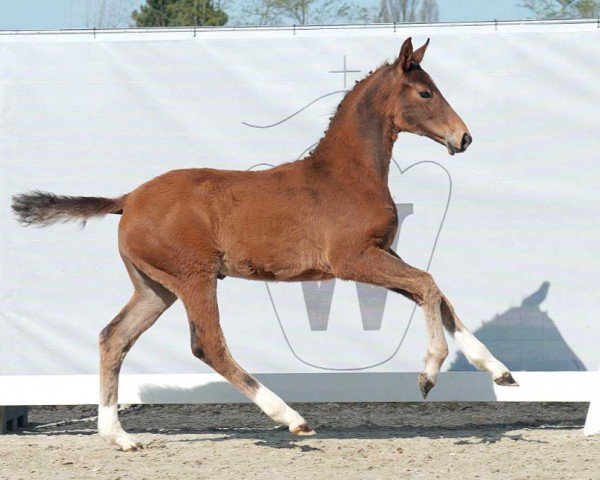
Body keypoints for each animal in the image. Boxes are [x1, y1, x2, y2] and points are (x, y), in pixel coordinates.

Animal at [11, 37, 516, 450]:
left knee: (113, 338)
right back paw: (291, 417)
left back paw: (118, 436)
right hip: (194, 277)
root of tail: (127, 199)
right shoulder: (352, 259)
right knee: (208, 345)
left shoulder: (380, 253)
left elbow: (438, 294)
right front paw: (429, 374)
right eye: (425, 92)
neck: (347, 175)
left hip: (155, 287)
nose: (464, 137)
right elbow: (429, 285)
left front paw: (497, 369)